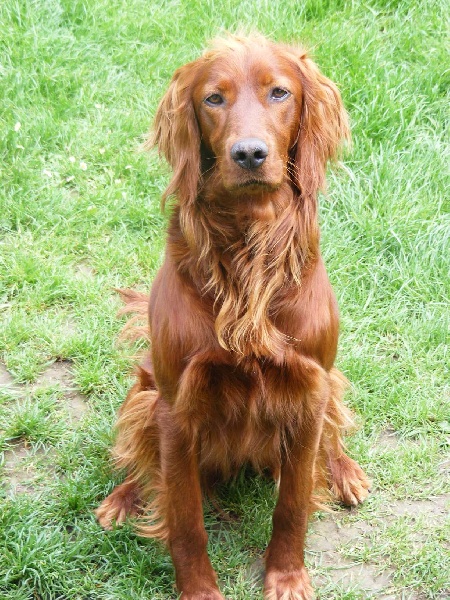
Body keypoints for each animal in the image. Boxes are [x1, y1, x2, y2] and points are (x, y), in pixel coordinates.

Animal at [96, 34, 370, 600]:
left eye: (279, 92)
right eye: (213, 99)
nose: (248, 153)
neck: (249, 246)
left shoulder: (308, 390)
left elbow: (293, 503)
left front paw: (287, 577)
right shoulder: (177, 408)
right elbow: (184, 517)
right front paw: (199, 590)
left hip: (329, 383)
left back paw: (346, 473)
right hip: (146, 388)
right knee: (143, 454)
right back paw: (122, 498)